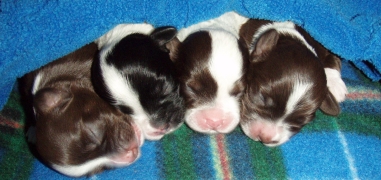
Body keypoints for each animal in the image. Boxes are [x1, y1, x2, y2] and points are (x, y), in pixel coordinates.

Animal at [240, 18, 348, 146]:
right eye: (262, 98)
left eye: (301, 120)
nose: (265, 137)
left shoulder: (324, 47)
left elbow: (333, 57)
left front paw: (335, 85)